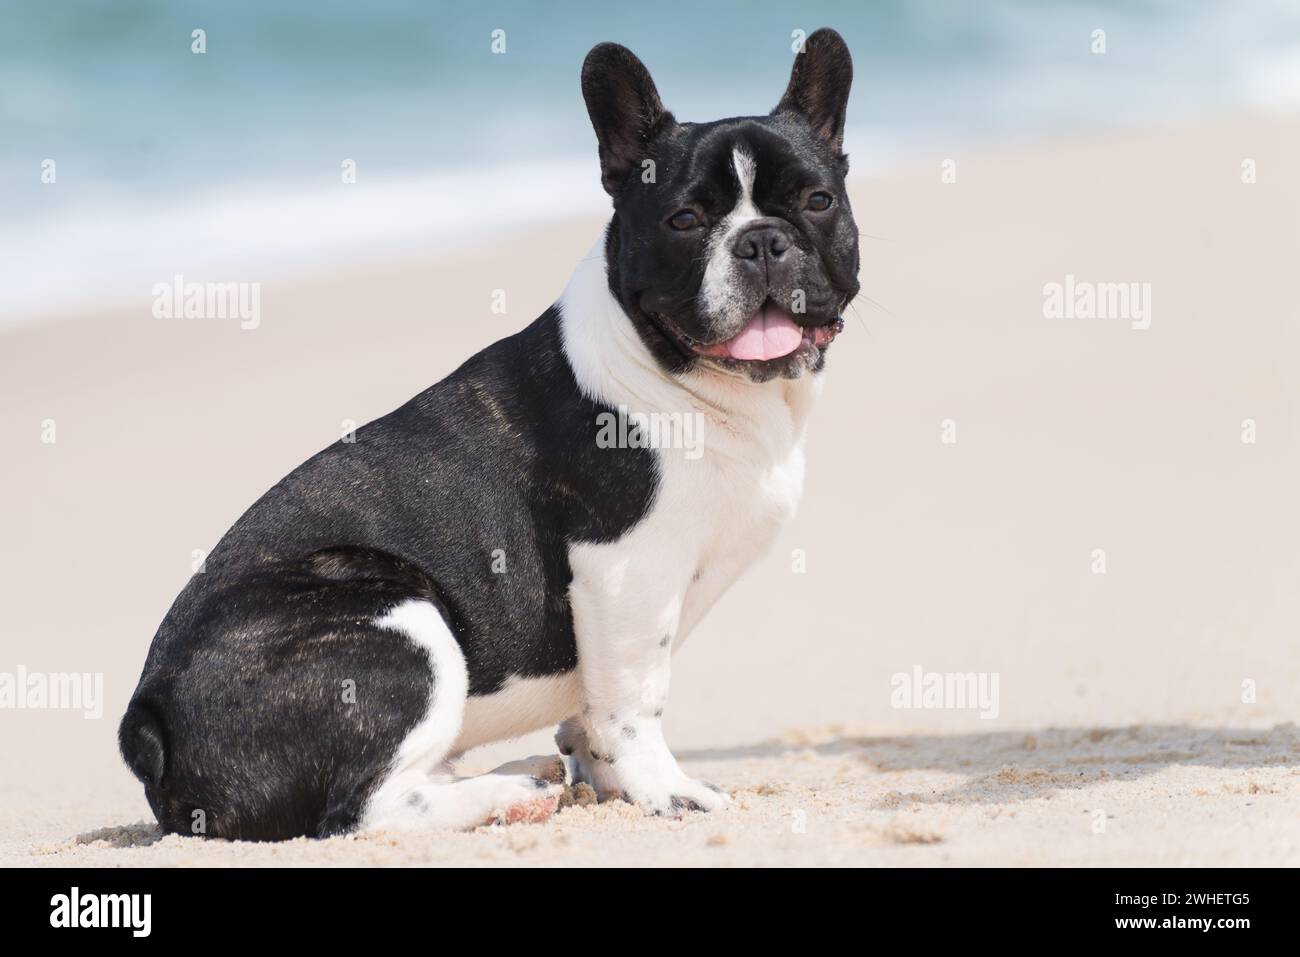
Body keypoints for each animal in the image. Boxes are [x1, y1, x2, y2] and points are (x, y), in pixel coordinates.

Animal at [119, 27, 852, 837]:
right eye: (685, 221)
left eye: (819, 201)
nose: (761, 240)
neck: (690, 379)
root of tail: (149, 722)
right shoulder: (625, 571)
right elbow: (634, 699)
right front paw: (665, 790)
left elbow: (593, 710)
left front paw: (607, 780)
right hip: (399, 619)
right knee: (363, 809)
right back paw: (505, 794)